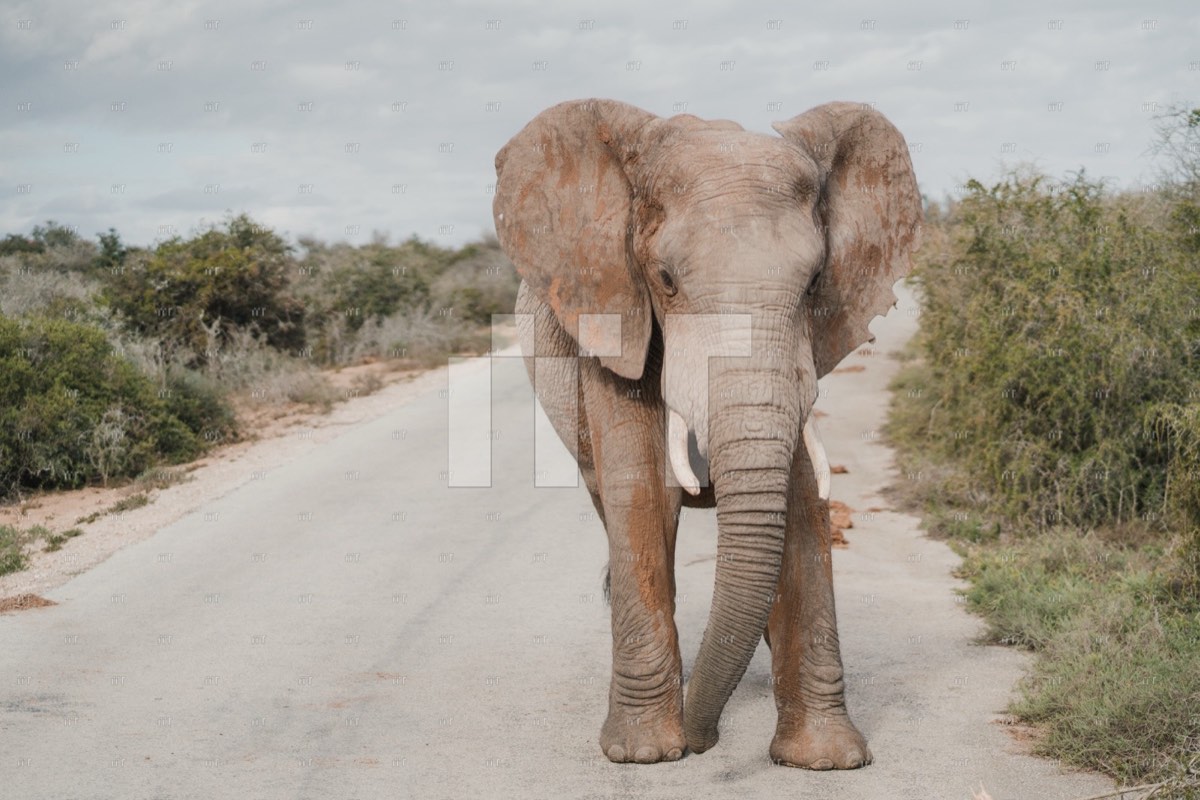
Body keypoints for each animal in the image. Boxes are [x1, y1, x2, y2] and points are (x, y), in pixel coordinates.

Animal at [492, 98, 921, 767]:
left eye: (813, 284)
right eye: (666, 279)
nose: (704, 744)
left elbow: (801, 497)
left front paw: (827, 760)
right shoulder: (614, 312)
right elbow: (644, 490)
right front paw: (645, 753)